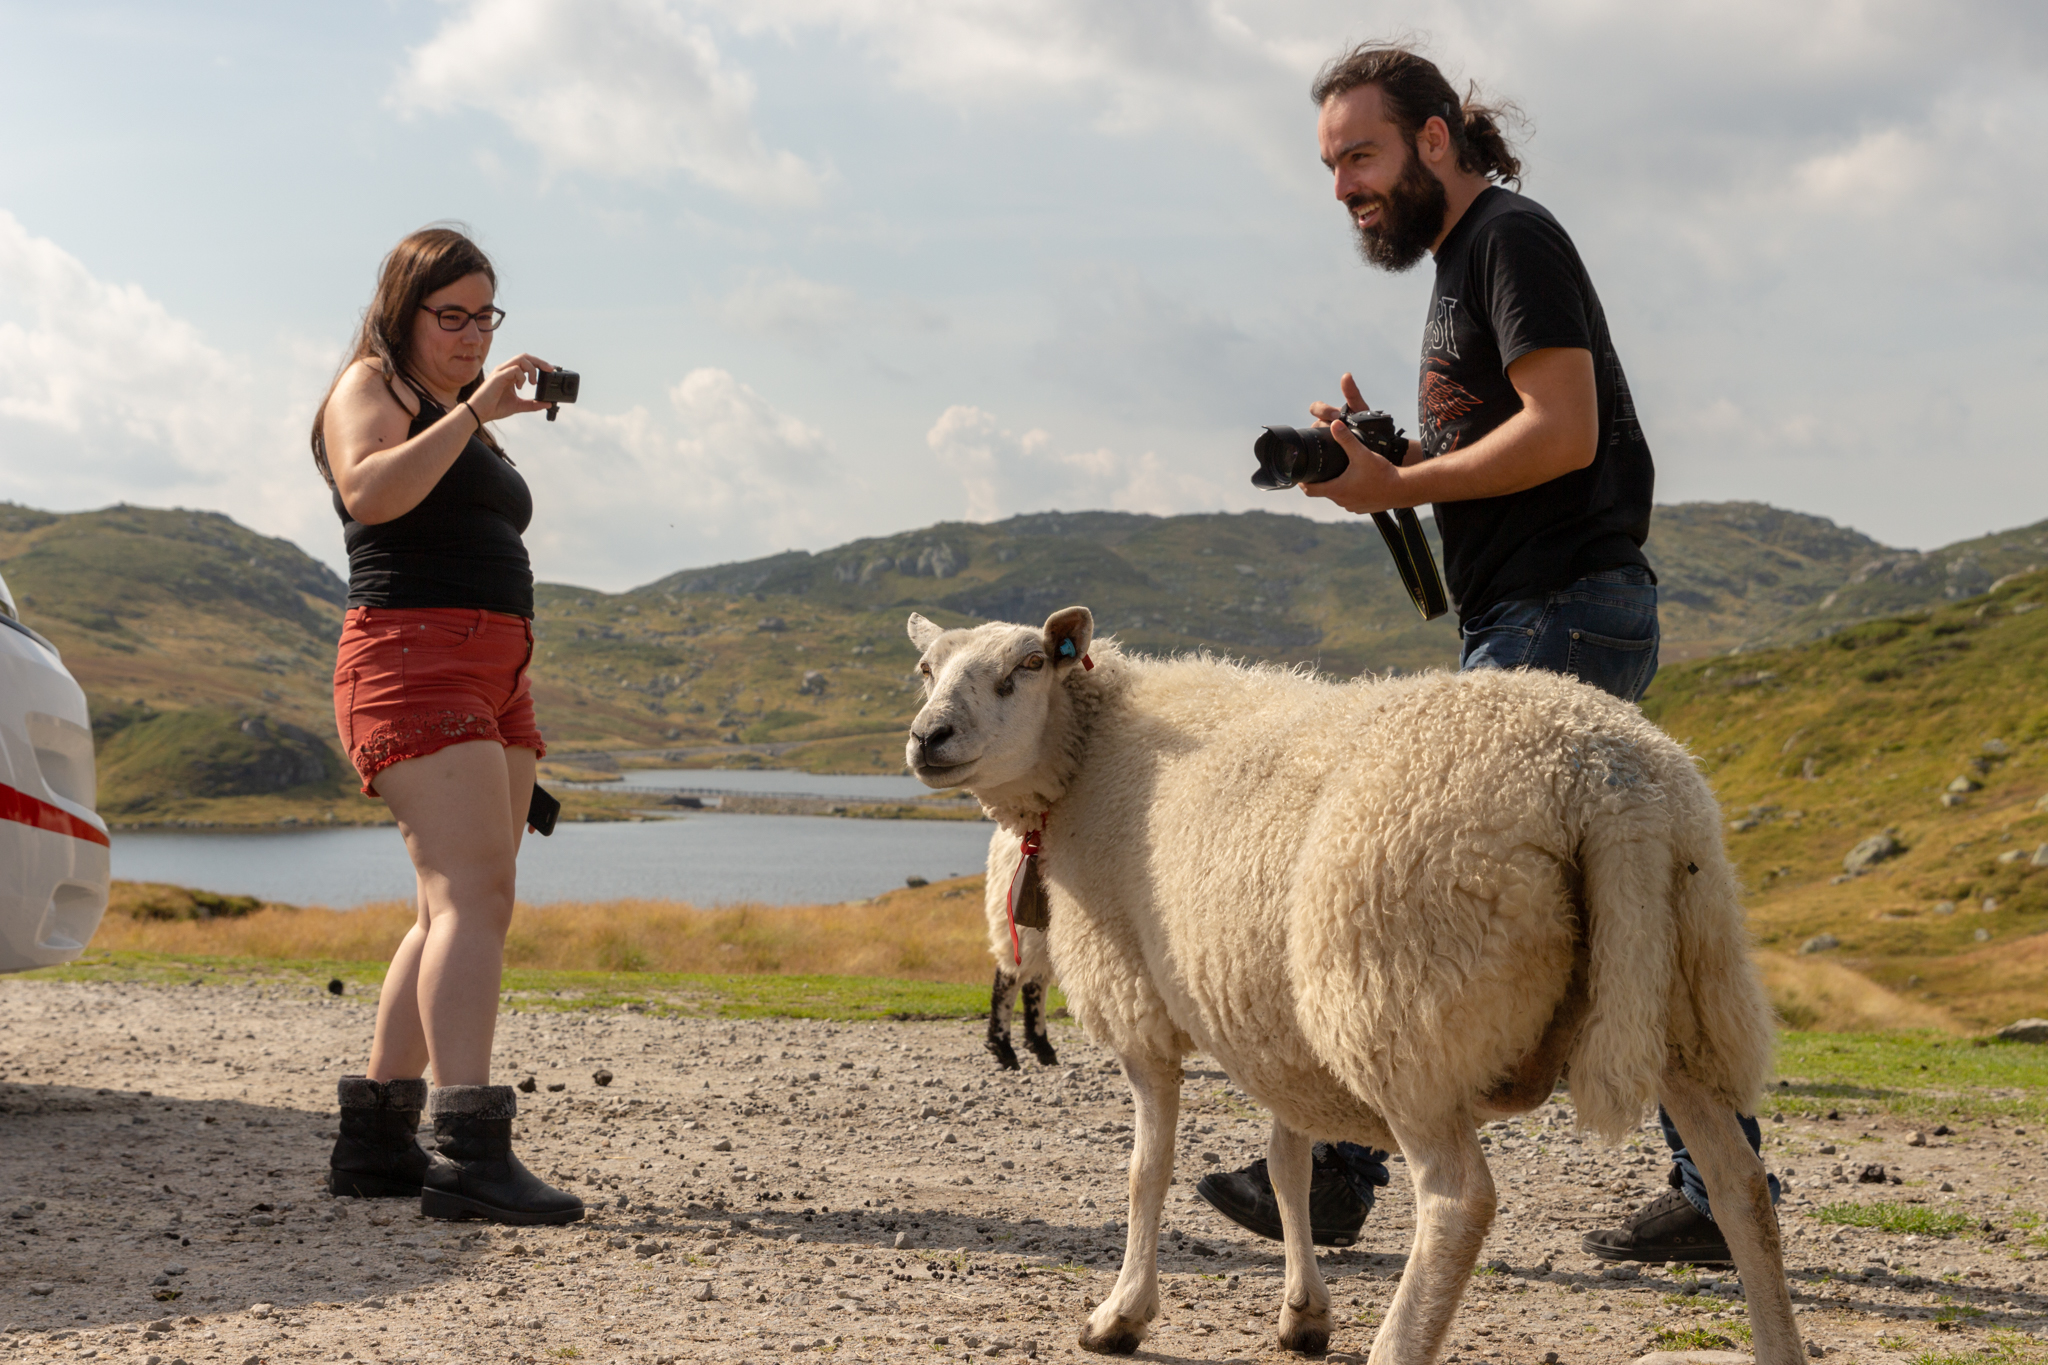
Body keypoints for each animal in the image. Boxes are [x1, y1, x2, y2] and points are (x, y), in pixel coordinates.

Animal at [904, 606, 1800, 1365]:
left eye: (1026, 665)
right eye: (925, 668)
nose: (926, 737)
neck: (1092, 750)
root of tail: (1602, 774)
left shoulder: (1138, 1003)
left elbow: (1145, 1169)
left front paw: (1121, 1314)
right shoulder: (1273, 1017)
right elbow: (1288, 1164)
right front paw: (1304, 1313)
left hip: (1403, 1005)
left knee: (1459, 1200)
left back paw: (1399, 1340)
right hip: (1686, 991)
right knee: (1740, 1186)